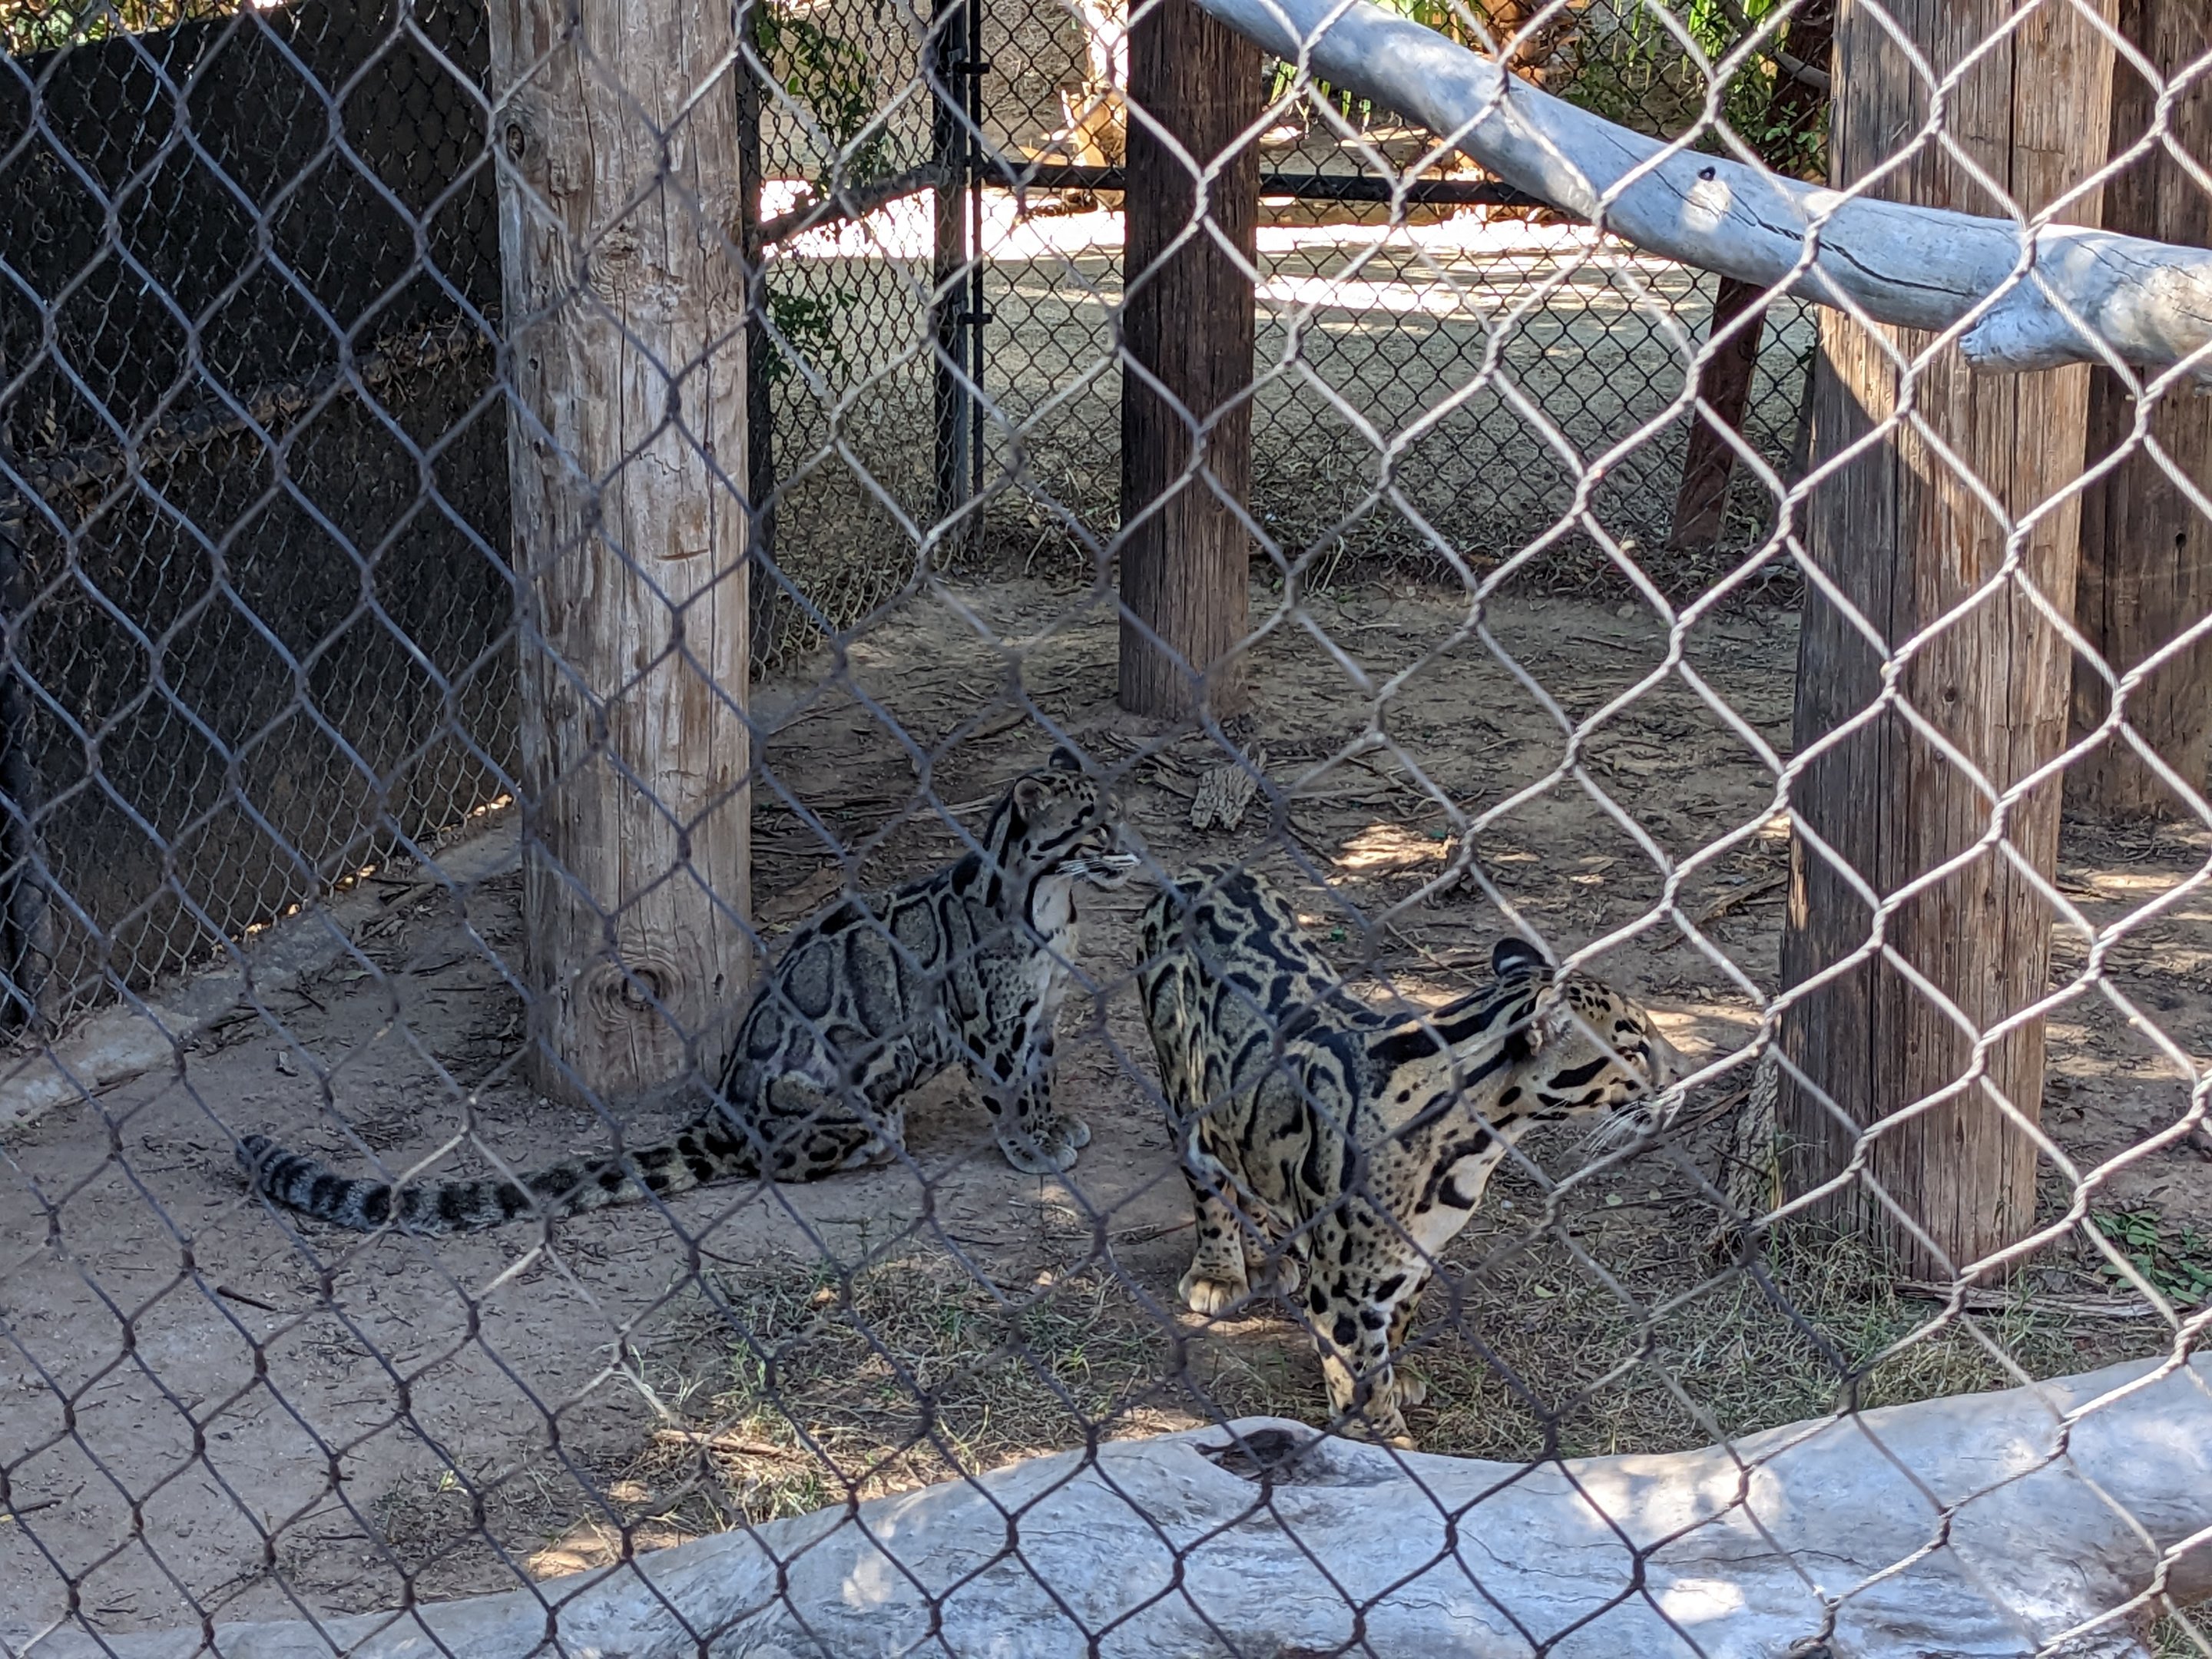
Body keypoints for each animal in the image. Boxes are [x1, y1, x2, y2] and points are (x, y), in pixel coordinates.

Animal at [239, 748, 1139, 1234]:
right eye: (1093, 823)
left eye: (1114, 811)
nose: (1130, 848)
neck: (1054, 907)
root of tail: (722, 1118)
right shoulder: (993, 1022)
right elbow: (1011, 1090)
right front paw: (1031, 1146)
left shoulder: (1043, 1015)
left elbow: (1043, 1078)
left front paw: (1055, 1123)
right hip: (830, 1091)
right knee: (796, 1155)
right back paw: (871, 1143)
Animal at [1137, 861, 1680, 1446]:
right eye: (1633, 1048)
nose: (1681, 1074)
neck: (1474, 1147)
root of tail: (1201, 869)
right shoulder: (1344, 1283)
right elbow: (1356, 1362)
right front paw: (1381, 1436)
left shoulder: (1419, 1250)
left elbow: (1397, 1321)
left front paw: (1397, 1377)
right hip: (1182, 1088)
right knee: (1206, 1179)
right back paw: (1220, 1271)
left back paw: (1264, 1255)